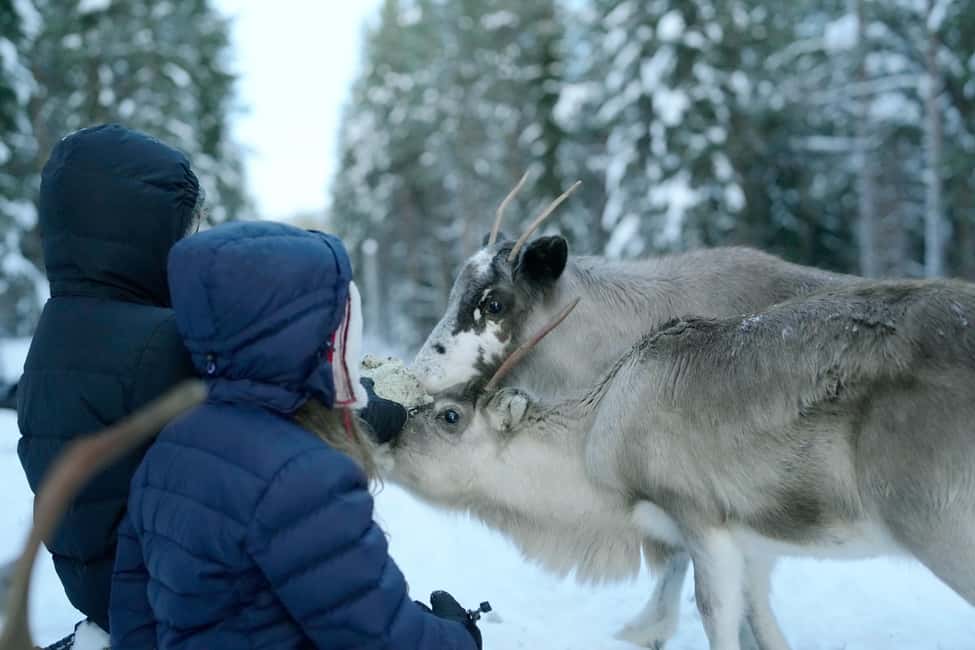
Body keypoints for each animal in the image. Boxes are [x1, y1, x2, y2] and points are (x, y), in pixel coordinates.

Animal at [387, 278, 975, 650]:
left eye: (449, 415)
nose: (385, 430)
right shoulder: (754, 541)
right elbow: (763, 627)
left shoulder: (699, 515)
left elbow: (715, 617)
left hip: (940, 525)